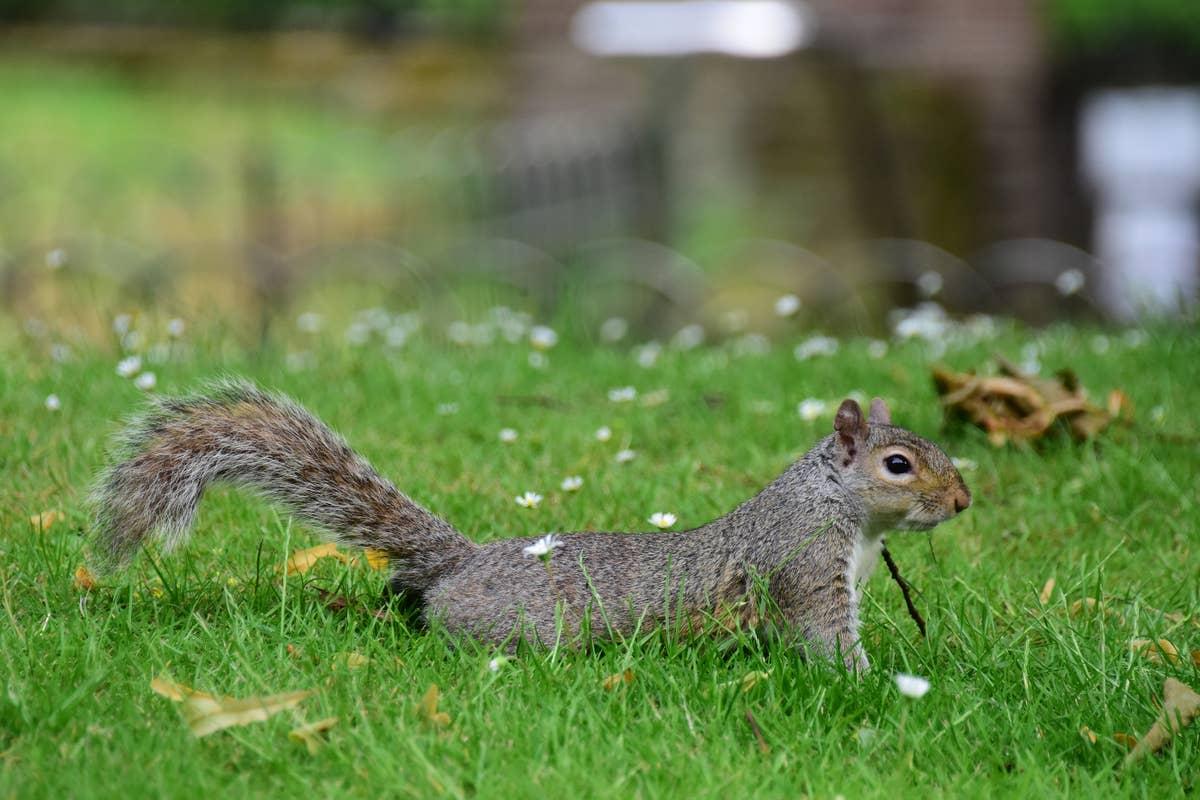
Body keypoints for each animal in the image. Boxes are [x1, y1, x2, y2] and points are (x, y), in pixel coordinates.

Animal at [91, 380, 970, 671]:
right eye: (898, 463)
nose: (963, 502)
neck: (840, 510)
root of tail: (462, 567)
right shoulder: (803, 563)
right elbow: (824, 635)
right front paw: (871, 684)